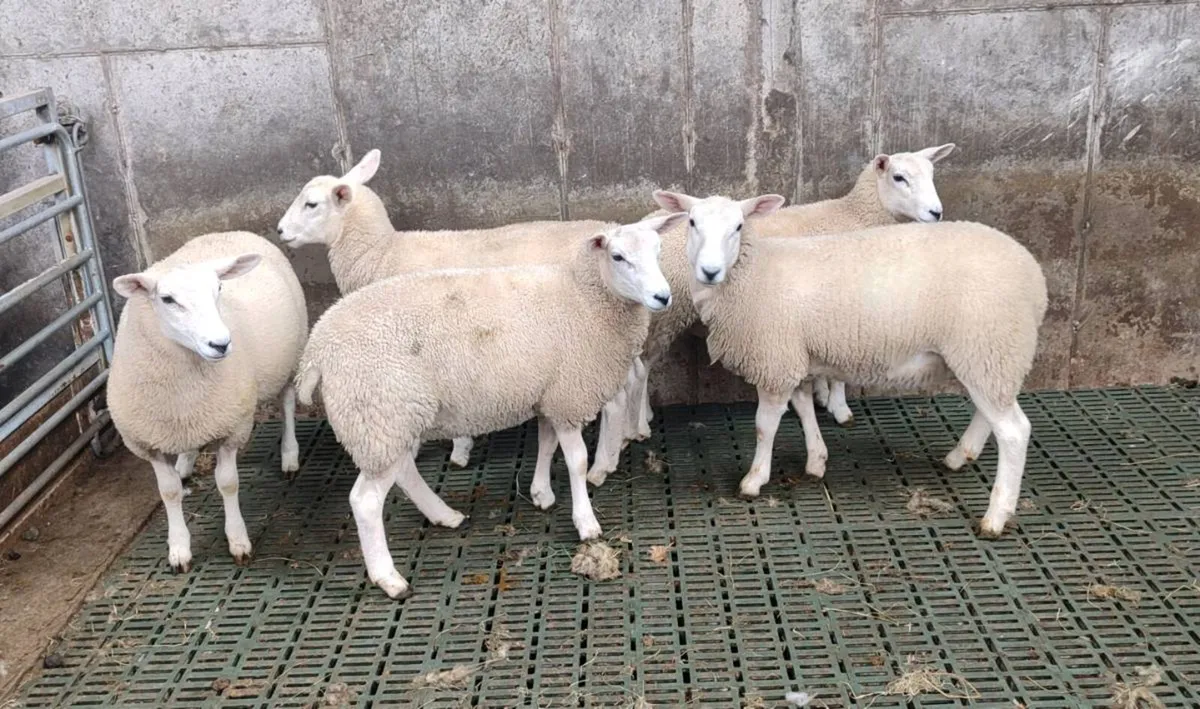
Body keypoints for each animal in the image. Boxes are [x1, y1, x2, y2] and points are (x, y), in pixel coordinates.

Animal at [107, 231, 308, 571]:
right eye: (167, 299)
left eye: (219, 290)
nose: (221, 344)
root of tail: (225, 233)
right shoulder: (149, 443)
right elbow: (169, 492)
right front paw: (178, 548)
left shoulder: (232, 429)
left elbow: (227, 483)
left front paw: (238, 541)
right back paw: (185, 463)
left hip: (289, 358)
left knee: (288, 404)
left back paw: (289, 455)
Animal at [276, 149, 621, 473]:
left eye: (311, 204)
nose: (279, 231)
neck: (382, 252)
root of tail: (611, 226)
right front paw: (459, 446)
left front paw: (449, 449)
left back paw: (604, 462)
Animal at [295, 213, 685, 598]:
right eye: (618, 257)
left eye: (658, 250)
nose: (662, 297)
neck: (583, 296)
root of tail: (317, 350)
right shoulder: (567, 397)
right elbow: (576, 461)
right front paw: (586, 522)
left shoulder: (547, 393)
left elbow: (547, 444)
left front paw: (541, 493)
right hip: (378, 415)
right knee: (365, 502)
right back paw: (389, 578)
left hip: (394, 419)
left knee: (404, 471)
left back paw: (444, 515)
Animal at [619, 144, 955, 451]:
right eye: (899, 177)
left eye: (932, 174)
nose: (936, 213)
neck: (856, 214)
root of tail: (643, 226)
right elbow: (840, 373)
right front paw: (840, 408)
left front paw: (821, 395)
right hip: (666, 314)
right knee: (642, 367)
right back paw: (639, 426)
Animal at [659, 189, 1046, 537]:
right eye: (692, 222)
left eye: (739, 226)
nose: (710, 271)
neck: (755, 273)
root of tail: (1033, 274)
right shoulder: (798, 357)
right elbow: (804, 408)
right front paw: (816, 461)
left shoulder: (776, 361)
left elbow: (764, 426)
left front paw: (754, 480)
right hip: (988, 355)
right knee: (990, 413)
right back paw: (960, 456)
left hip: (988, 345)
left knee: (1014, 431)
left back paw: (995, 516)